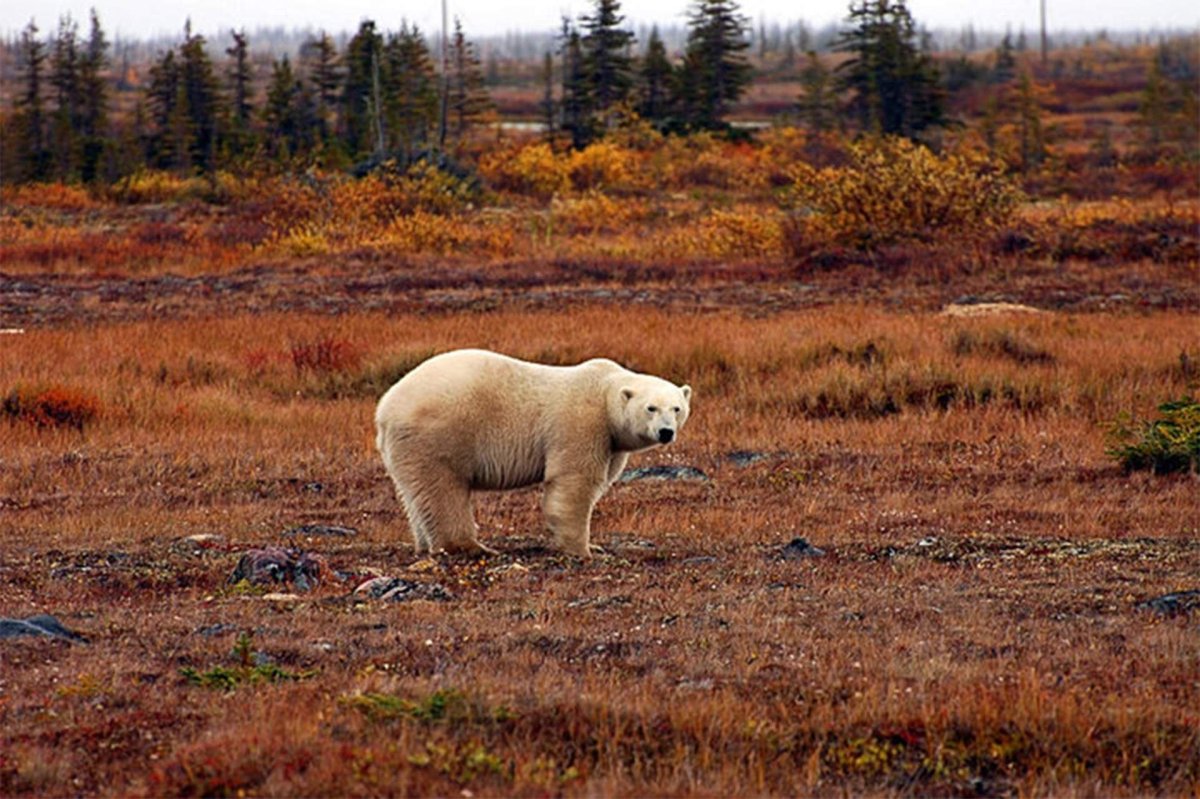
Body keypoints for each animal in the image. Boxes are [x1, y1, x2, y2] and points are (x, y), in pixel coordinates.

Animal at [374, 349, 692, 558]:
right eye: (651, 408)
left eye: (677, 408)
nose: (666, 432)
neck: (604, 391)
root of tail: (385, 407)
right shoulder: (581, 424)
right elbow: (574, 482)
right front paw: (583, 550)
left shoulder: (611, 442)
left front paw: (595, 545)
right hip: (439, 434)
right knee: (443, 490)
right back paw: (474, 547)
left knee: (417, 495)